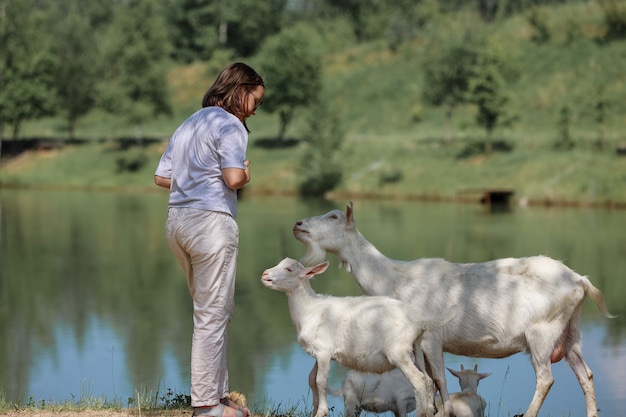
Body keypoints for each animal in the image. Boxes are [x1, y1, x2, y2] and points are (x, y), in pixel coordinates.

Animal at [260, 256, 454, 416]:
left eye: (288, 269)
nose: (264, 274)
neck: (309, 309)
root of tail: (417, 319)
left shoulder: (324, 351)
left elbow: (320, 381)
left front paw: (321, 411)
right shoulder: (318, 353)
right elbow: (311, 380)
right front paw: (315, 410)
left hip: (398, 352)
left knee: (418, 380)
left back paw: (421, 412)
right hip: (415, 349)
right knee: (428, 380)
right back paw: (428, 410)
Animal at [294, 202, 616, 416]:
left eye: (334, 216)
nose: (298, 225)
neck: (394, 279)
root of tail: (580, 280)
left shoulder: (431, 337)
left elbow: (438, 380)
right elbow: (432, 383)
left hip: (542, 331)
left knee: (546, 378)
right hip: (570, 331)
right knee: (585, 374)